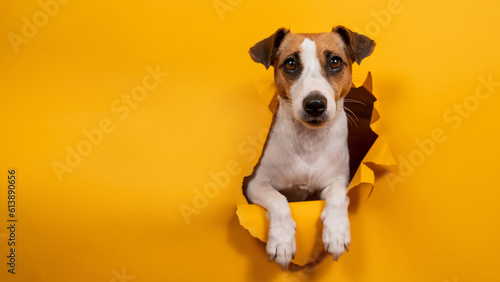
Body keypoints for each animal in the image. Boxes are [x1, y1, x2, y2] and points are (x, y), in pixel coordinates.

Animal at [246, 25, 376, 268]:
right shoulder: (255, 184)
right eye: (290, 63)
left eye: (335, 62)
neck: (310, 140)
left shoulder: (335, 181)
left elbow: (338, 195)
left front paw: (336, 232)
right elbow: (278, 200)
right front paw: (282, 241)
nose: (315, 104)